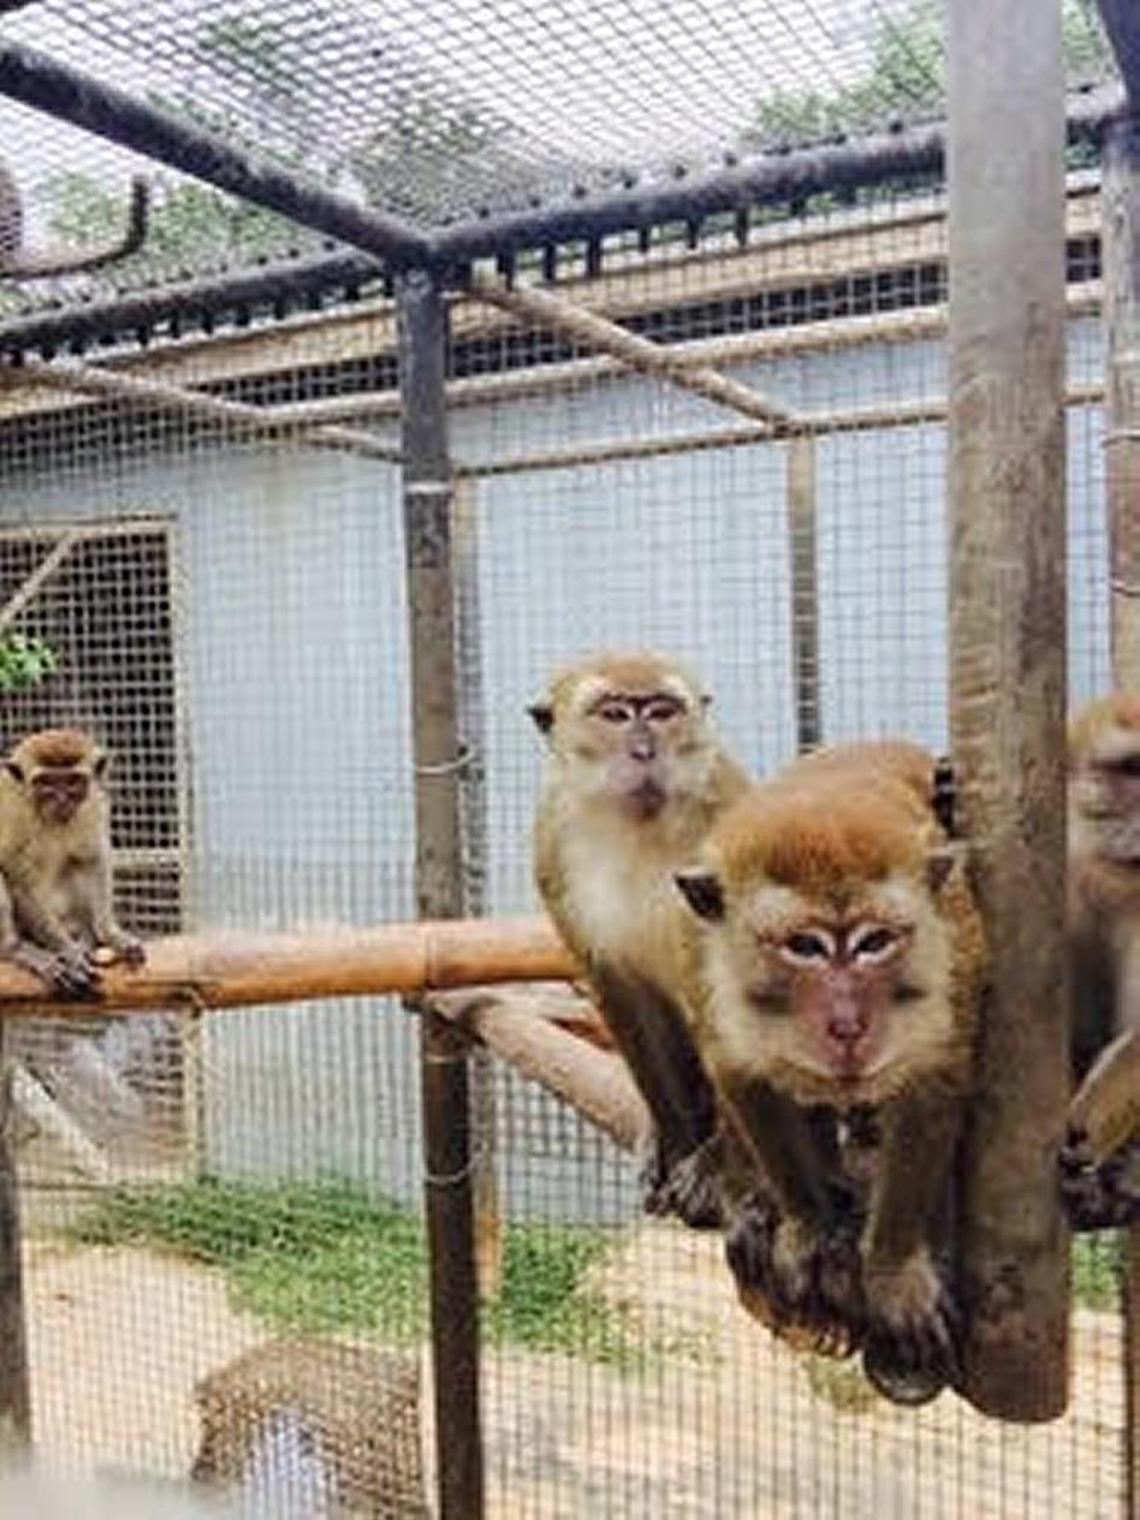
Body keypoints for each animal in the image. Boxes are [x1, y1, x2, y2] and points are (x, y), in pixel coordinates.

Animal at [0, 728, 144, 998]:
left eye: (73, 781)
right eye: (46, 782)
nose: (61, 799)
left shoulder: (93, 802)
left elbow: (94, 858)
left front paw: (109, 932)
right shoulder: (14, 812)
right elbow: (17, 876)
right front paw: (66, 949)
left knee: (75, 863)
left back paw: (86, 934)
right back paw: (15, 948)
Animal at [530, 649, 752, 1228]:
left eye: (661, 710)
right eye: (614, 714)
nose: (644, 750)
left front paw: (722, 1170)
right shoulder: (553, 842)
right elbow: (620, 989)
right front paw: (675, 1144)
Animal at [672, 739, 987, 1401]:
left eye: (874, 942)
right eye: (804, 947)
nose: (847, 1024)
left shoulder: (954, 954)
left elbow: (932, 1087)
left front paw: (894, 1268)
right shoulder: (709, 968)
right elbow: (746, 1081)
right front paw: (808, 1224)